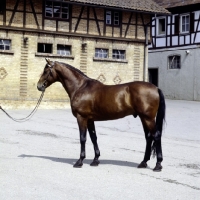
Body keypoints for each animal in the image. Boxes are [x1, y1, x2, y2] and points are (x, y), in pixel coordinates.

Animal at [37, 58, 166, 171]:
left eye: (46, 71)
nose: (39, 86)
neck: (80, 87)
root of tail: (156, 88)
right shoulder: (90, 120)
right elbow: (94, 138)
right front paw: (95, 160)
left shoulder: (81, 118)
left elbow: (83, 138)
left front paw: (80, 161)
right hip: (143, 118)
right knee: (149, 137)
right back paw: (143, 162)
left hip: (148, 118)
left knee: (156, 136)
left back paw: (158, 165)